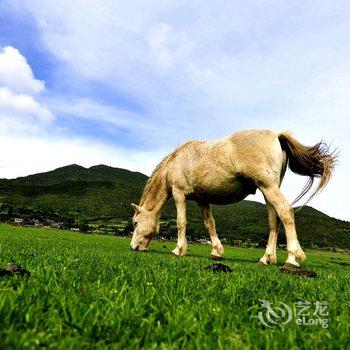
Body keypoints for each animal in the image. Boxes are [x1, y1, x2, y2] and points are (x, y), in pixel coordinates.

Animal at [129, 130, 336, 266]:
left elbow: (181, 222)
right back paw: (266, 258)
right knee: (273, 221)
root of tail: (277, 135)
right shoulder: (203, 200)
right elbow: (209, 224)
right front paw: (216, 251)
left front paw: (179, 250)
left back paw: (292, 258)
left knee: (286, 212)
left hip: (268, 187)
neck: (176, 161)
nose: (133, 247)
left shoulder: (179, 194)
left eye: (135, 223)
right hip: (268, 190)